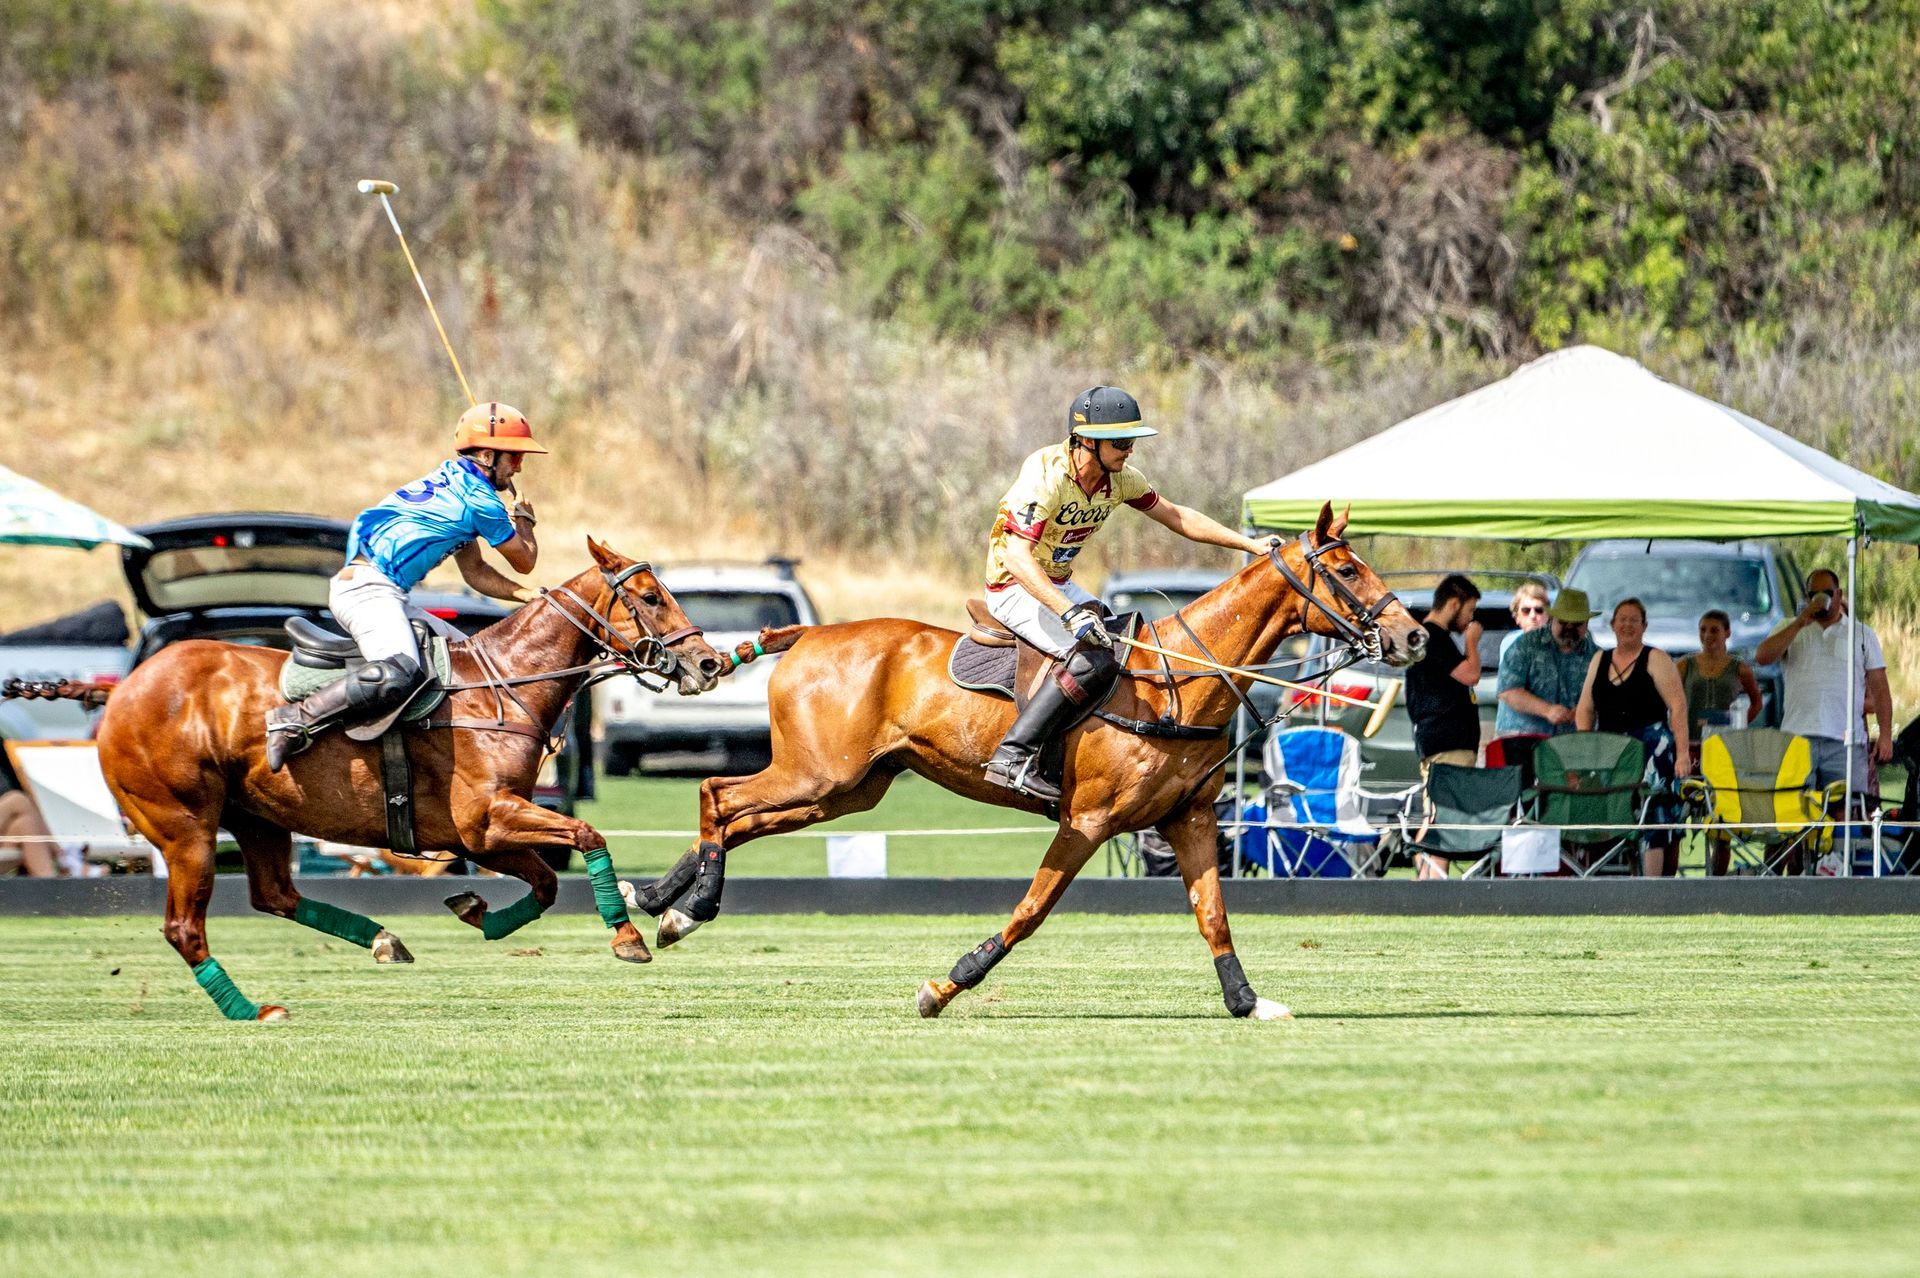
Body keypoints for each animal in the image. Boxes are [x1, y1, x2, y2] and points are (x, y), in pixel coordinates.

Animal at [21, 539, 725, 1022]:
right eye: (653, 597)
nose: (709, 662)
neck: (501, 686)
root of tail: (118, 692)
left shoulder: (477, 834)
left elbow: (548, 884)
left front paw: (477, 913)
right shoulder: (487, 818)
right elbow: (588, 834)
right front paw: (629, 938)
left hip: (256, 816)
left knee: (275, 895)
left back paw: (385, 941)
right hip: (183, 825)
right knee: (184, 928)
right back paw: (252, 1010)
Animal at [632, 503, 1424, 1019]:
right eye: (1346, 566)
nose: (1413, 636)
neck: (1177, 680)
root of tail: (808, 634)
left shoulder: (1190, 819)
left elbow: (1214, 917)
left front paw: (1247, 1001)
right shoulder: (1087, 818)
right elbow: (1031, 911)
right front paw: (946, 985)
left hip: (848, 789)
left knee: (737, 817)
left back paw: (659, 903)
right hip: (818, 773)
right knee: (717, 794)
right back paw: (686, 910)